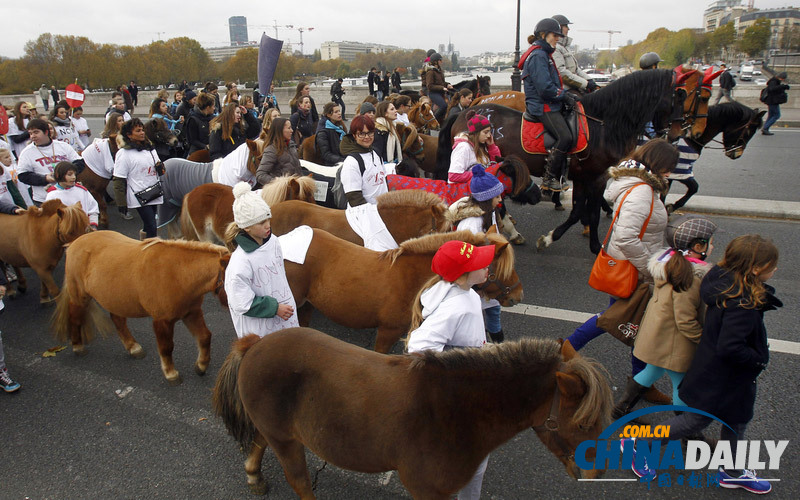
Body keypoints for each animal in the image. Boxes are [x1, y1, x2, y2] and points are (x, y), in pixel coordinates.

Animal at [51, 232, 230, 384]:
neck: (179, 274)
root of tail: (75, 242)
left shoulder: (191, 313)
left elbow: (205, 337)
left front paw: (201, 366)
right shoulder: (162, 321)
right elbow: (166, 347)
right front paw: (171, 374)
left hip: (115, 298)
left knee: (118, 320)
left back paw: (133, 348)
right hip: (79, 297)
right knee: (75, 317)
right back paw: (78, 347)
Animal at [212, 328, 612, 496]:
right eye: (584, 423)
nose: (596, 474)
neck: (456, 409)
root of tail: (254, 344)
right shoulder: (425, 489)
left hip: (279, 432)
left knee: (259, 440)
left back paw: (254, 474)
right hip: (287, 440)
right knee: (299, 481)